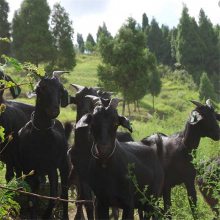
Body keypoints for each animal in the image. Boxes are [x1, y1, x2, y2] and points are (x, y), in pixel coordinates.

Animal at [18, 73, 69, 219]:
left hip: (64, 165)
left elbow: (53, 198)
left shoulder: (51, 168)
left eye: (61, 90)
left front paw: (46, 215)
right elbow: (30, 198)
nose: (54, 110)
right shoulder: (27, 168)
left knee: (64, 195)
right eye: (41, 89)